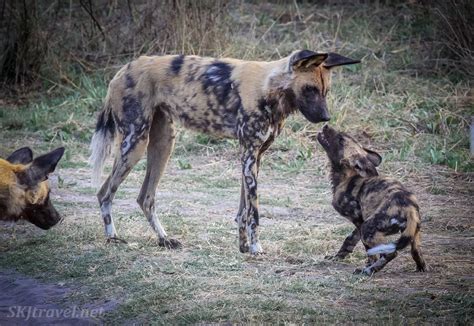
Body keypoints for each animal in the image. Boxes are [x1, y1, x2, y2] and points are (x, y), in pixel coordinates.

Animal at [90, 50, 360, 255]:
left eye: (325, 91)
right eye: (309, 89)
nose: (326, 118)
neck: (270, 89)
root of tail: (123, 70)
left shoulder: (254, 157)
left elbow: (243, 210)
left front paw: (243, 246)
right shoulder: (249, 154)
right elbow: (254, 213)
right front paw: (256, 248)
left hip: (163, 144)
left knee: (145, 197)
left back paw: (164, 239)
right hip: (134, 143)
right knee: (104, 193)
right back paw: (113, 237)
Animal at [318, 125, 426, 276]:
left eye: (341, 140)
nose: (326, 125)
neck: (346, 177)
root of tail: (409, 209)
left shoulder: (359, 221)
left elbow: (369, 251)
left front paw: (367, 265)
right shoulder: (360, 223)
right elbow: (350, 239)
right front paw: (338, 257)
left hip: (369, 227)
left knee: (390, 253)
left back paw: (369, 271)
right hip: (411, 234)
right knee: (415, 251)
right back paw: (421, 267)